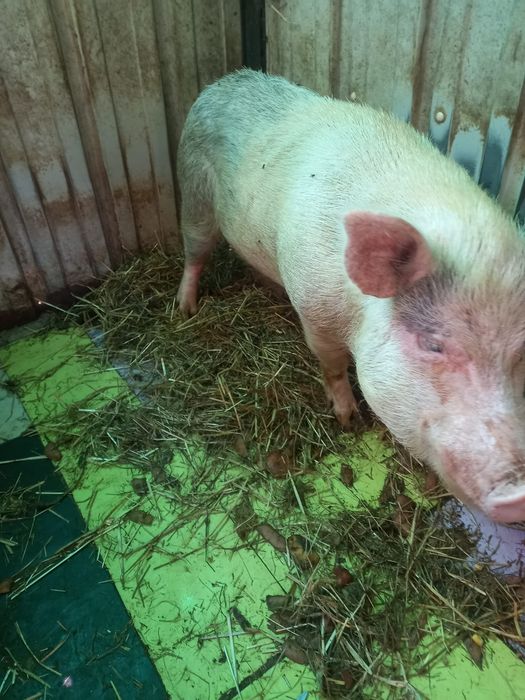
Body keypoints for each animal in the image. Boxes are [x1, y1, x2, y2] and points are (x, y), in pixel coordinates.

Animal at [176, 68, 525, 524]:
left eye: (521, 355)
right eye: (433, 345)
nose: (520, 494)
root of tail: (224, 81)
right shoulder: (314, 310)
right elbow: (333, 367)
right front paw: (348, 419)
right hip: (194, 191)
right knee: (194, 253)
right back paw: (184, 310)